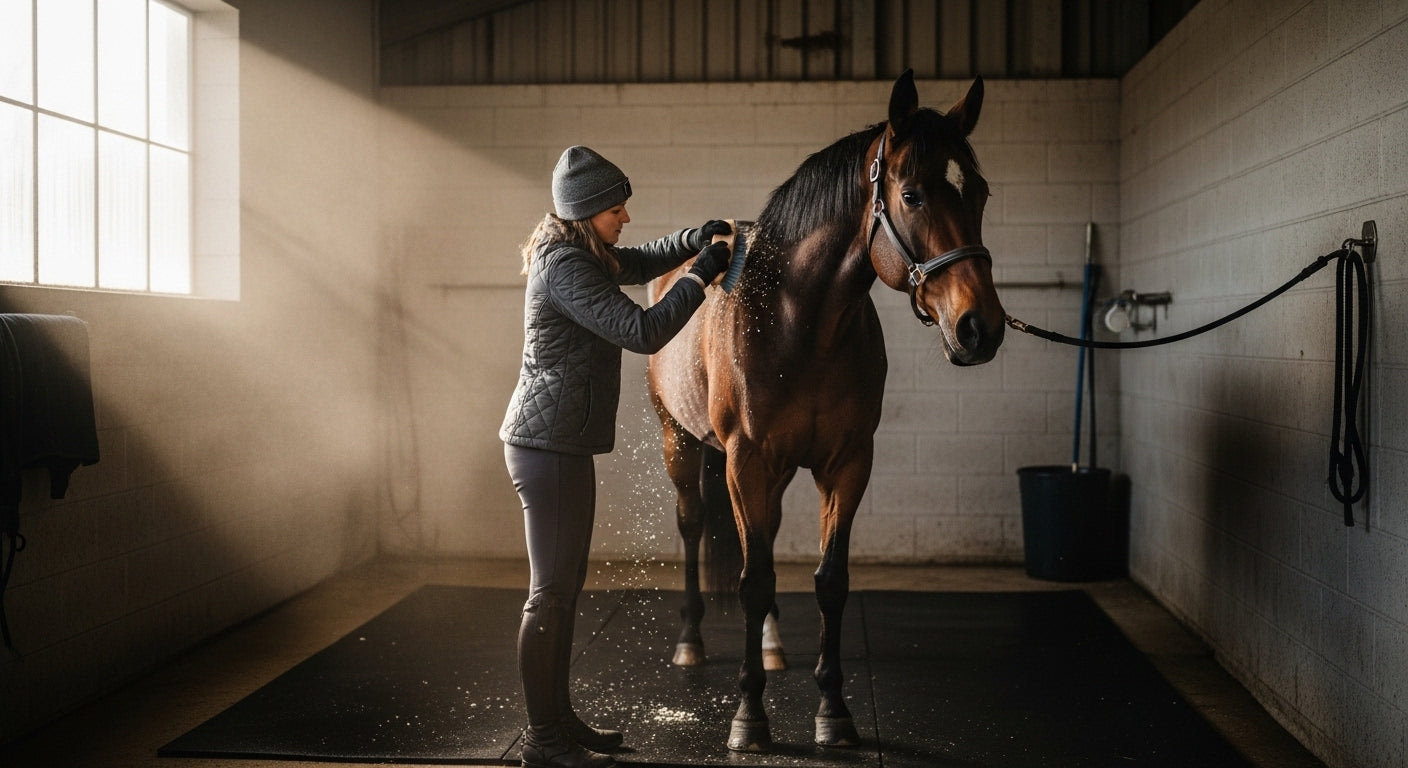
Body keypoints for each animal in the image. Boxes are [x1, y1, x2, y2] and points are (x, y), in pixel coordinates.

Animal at [645, 70, 1004, 752]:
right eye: (913, 194)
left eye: (980, 192)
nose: (982, 328)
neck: (797, 319)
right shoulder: (743, 461)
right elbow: (753, 579)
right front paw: (748, 718)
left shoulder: (846, 463)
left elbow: (828, 581)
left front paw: (833, 712)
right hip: (680, 442)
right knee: (692, 525)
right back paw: (688, 642)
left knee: (764, 534)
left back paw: (773, 645)